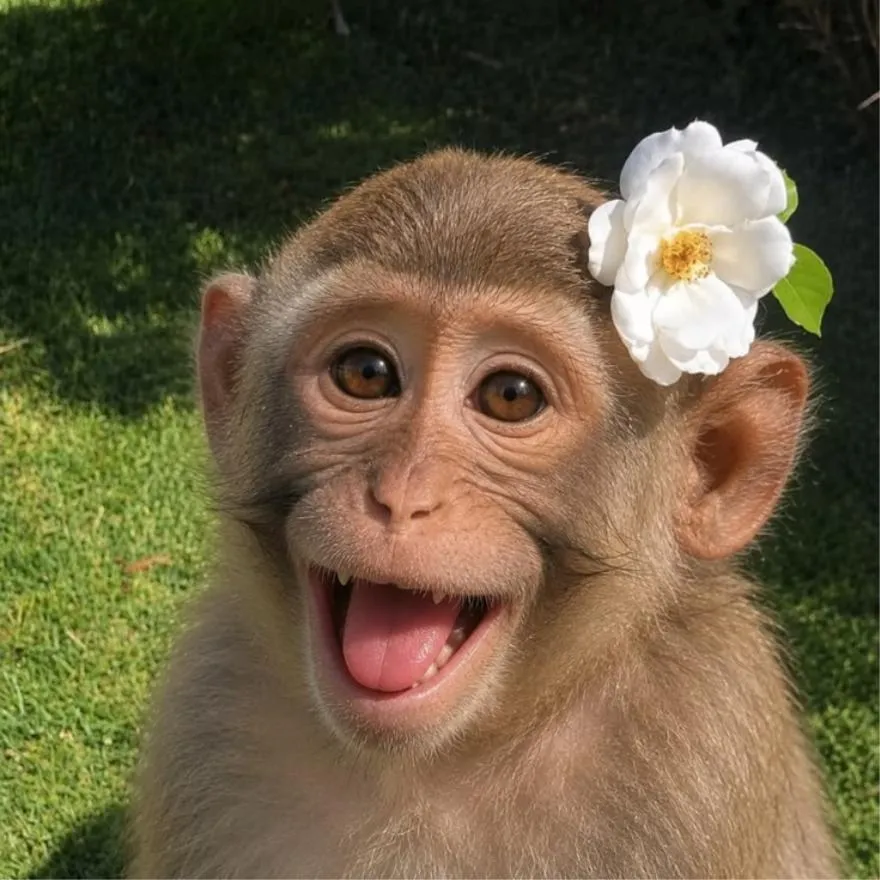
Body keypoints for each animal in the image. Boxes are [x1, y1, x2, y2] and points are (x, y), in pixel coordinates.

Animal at [129, 148, 840, 879]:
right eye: (365, 373)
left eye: (510, 395)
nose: (404, 495)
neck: (426, 767)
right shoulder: (205, 716)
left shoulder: (705, 761)